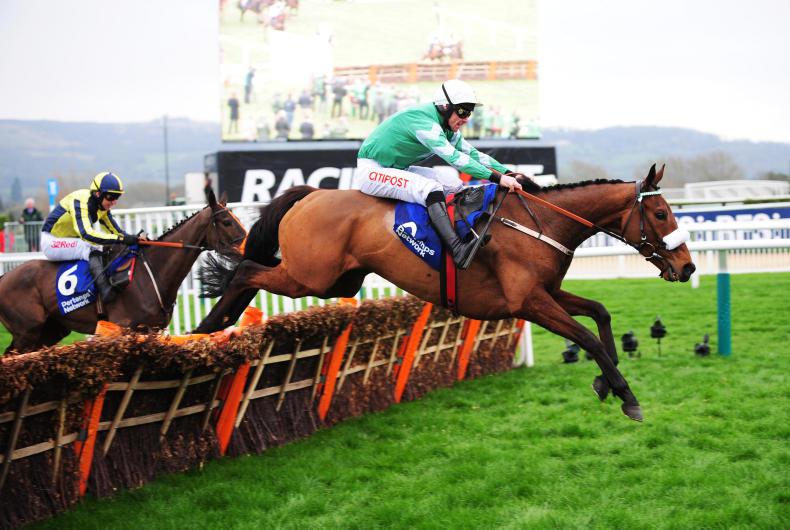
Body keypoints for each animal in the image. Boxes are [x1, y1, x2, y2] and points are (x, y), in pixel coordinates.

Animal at [0, 190, 246, 354]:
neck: (152, 273)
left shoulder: (154, 331)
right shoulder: (123, 328)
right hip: (28, 331)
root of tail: (4, 277)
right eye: (226, 221)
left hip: (50, 330)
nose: (247, 245)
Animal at [194, 164, 695, 421]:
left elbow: (601, 313)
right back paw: (210, 326)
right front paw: (625, 394)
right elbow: (588, 337)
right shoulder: (528, 302)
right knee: (247, 271)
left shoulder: (549, 292)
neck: (542, 223)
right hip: (310, 277)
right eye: (660, 214)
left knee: (252, 271)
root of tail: (311, 194)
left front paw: (605, 382)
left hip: (340, 279)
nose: (687, 266)